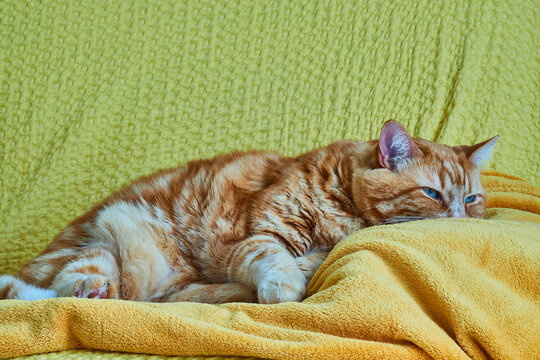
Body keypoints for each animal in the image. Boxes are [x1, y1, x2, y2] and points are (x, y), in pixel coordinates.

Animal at [0, 121, 498, 304]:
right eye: (433, 194)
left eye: (472, 199)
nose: (459, 217)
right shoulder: (253, 237)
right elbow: (273, 258)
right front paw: (286, 284)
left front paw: (309, 264)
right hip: (108, 238)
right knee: (61, 286)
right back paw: (91, 290)